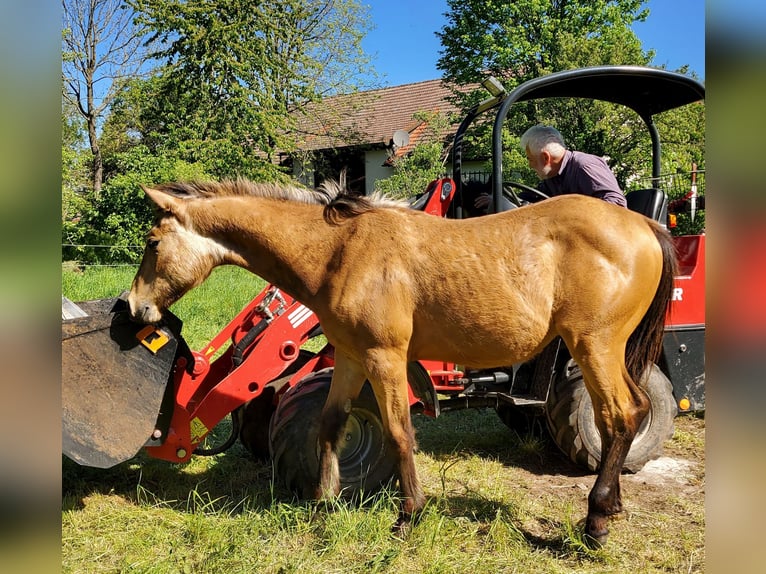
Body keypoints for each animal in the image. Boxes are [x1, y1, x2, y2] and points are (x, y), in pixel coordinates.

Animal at [127, 178, 680, 548]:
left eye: (152, 243)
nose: (135, 308)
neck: (340, 251)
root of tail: (646, 223)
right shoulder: (351, 357)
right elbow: (330, 424)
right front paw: (322, 502)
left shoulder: (385, 357)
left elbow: (397, 431)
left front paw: (408, 513)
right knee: (634, 410)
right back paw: (612, 505)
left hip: (593, 345)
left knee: (619, 416)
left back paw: (596, 521)